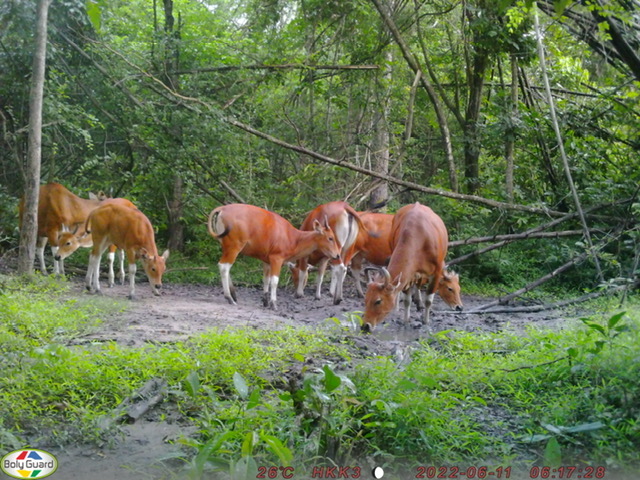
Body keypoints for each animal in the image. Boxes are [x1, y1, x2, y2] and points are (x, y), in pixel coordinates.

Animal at [208, 203, 342, 310]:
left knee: (226, 267)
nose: (337, 255)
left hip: (225, 245)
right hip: (235, 246)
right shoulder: (276, 258)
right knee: (224, 266)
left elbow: (266, 279)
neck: (293, 238)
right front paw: (273, 303)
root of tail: (222, 209)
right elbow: (274, 281)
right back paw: (229, 297)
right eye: (330, 238)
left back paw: (233, 295)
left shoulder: (266, 261)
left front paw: (265, 301)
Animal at [362, 201, 462, 332]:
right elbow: (407, 300)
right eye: (366, 298)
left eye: (378, 301)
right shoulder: (408, 273)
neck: (420, 239)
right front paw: (406, 320)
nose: (365, 326)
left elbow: (428, 300)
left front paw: (425, 321)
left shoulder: (436, 272)